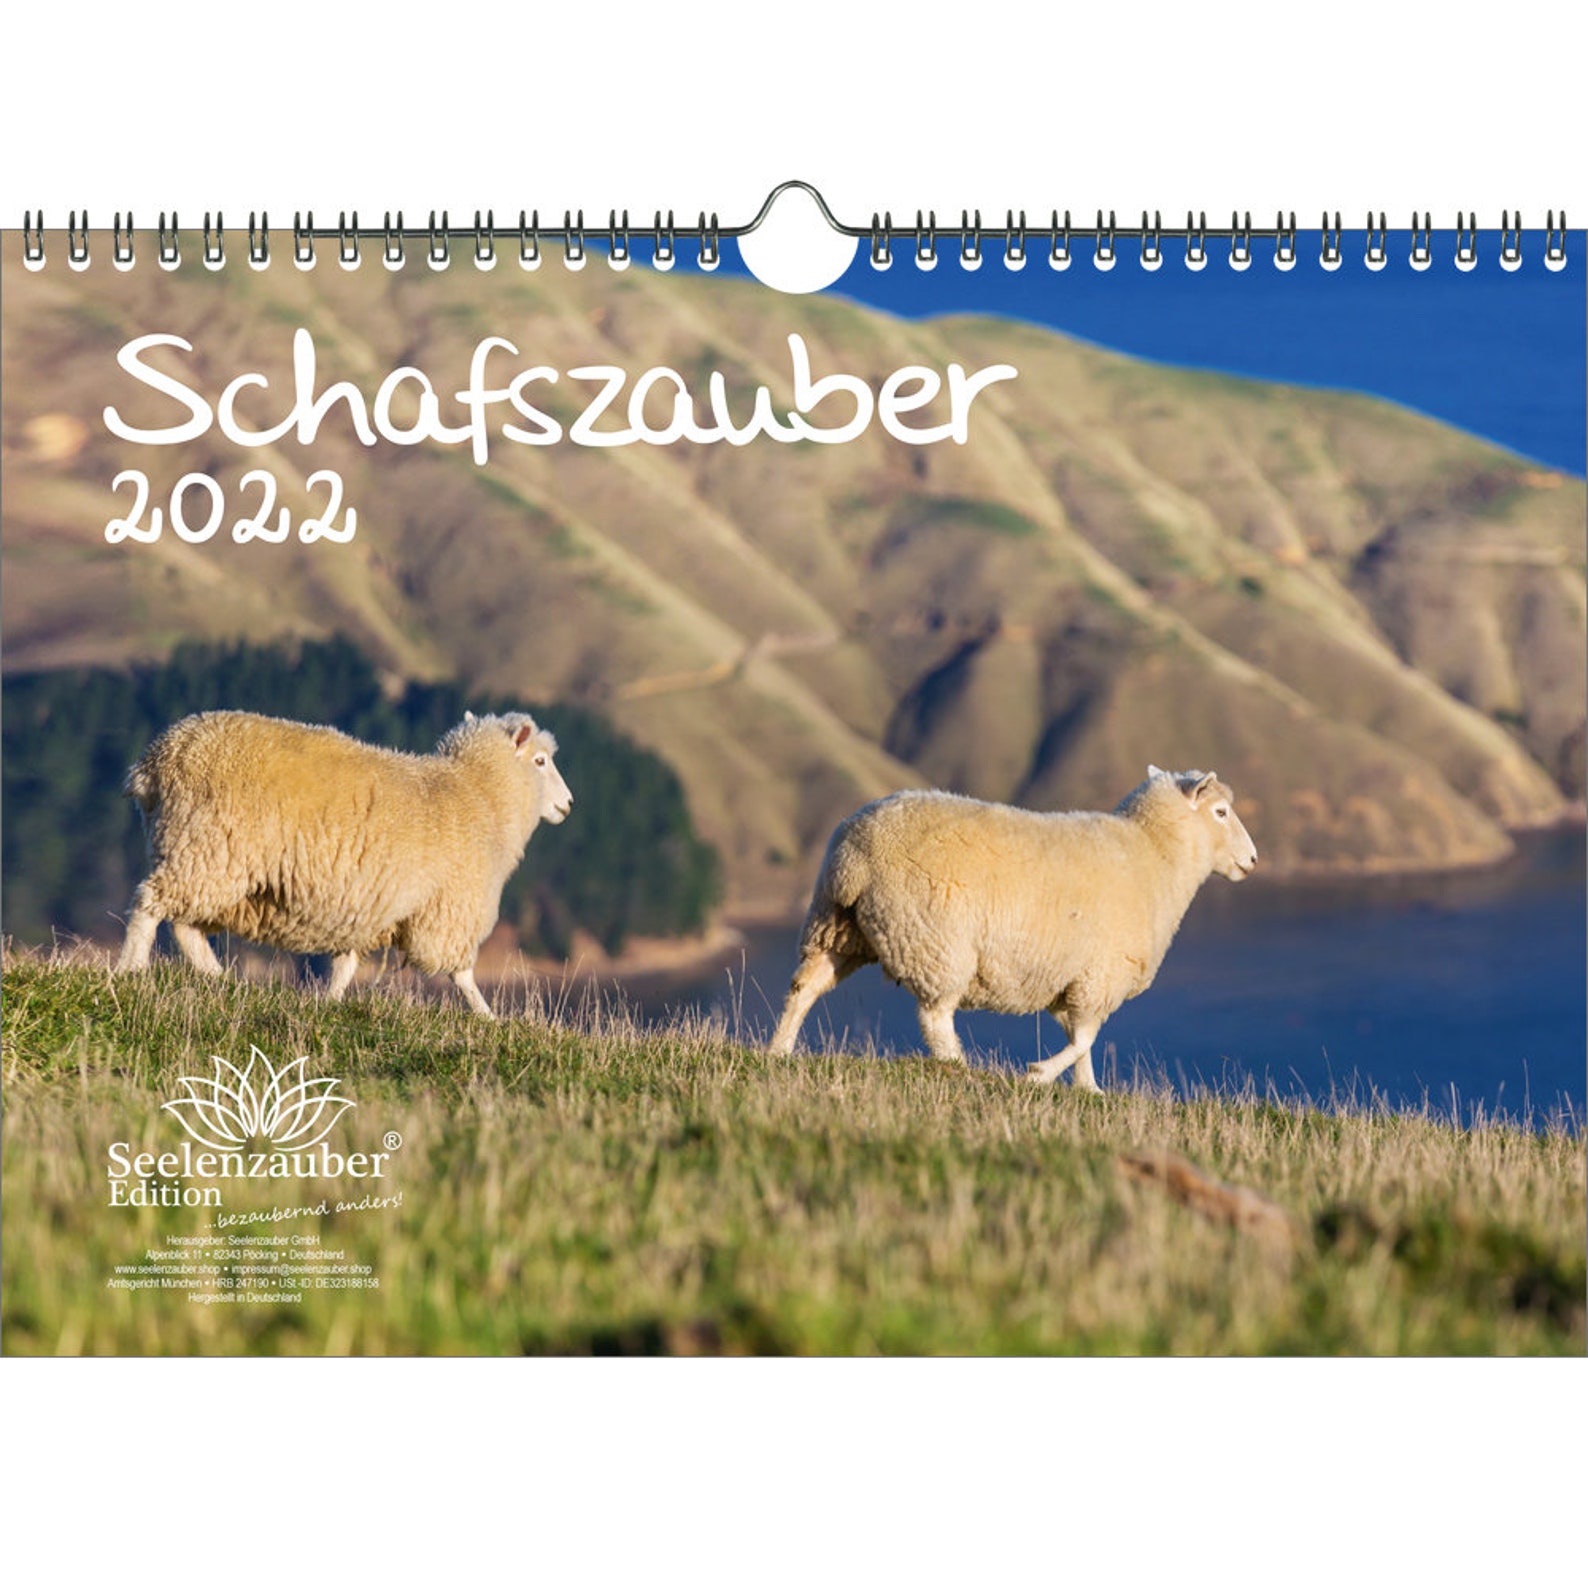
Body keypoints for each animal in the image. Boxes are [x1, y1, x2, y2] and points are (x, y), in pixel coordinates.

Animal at [114, 708, 572, 1017]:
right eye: (540, 761)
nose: (568, 804)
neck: (479, 794)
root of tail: (156, 760)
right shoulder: (449, 908)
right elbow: (461, 973)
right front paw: (487, 1017)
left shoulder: (366, 903)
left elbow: (346, 964)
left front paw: (328, 1003)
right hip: (206, 849)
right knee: (149, 904)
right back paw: (129, 971)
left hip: (204, 859)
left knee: (185, 926)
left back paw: (218, 978)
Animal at [767, 767, 1257, 1089]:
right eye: (1220, 812)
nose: (1253, 860)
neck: (1156, 855)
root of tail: (853, 853)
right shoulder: (1099, 974)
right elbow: (1086, 1037)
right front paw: (1039, 1075)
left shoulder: (1074, 981)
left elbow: (1082, 1039)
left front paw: (1088, 1090)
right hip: (935, 939)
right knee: (935, 1016)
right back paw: (959, 1066)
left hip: (837, 928)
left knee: (804, 987)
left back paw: (778, 1050)